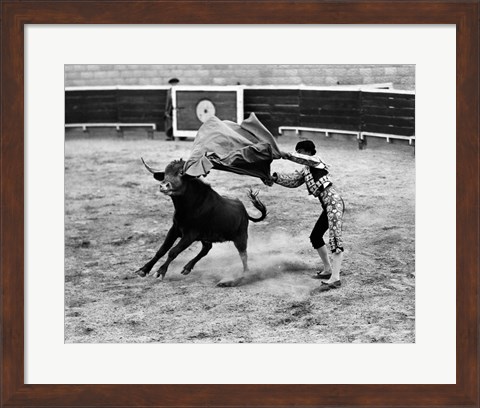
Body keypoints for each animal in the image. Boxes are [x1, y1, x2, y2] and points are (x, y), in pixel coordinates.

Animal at [137, 158, 268, 286]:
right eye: (165, 173)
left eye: (181, 172)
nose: (164, 185)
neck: (187, 206)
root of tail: (245, 212)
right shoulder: (174, 229)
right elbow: (162, 250)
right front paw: (143, 269)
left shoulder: (190, 235)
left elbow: (173, 251)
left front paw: (160, 272)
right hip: (206, 237)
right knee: (206, 248)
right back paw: (187, 268)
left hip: (241, 237)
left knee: (243, 256)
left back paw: (243, 276)